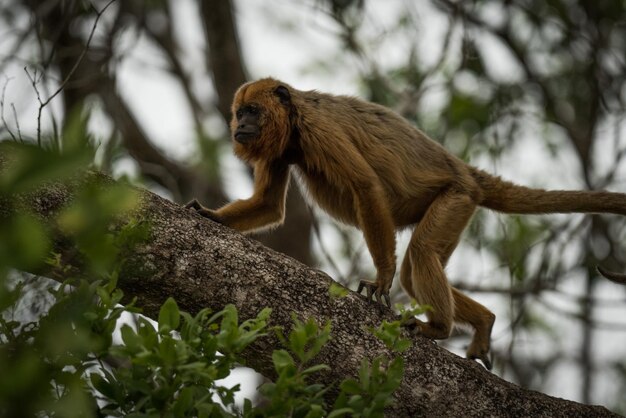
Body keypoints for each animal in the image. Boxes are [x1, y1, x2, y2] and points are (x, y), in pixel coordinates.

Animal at [185, 78, 624, 370]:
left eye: (252, 111)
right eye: (239, 112)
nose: (238, 126)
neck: (292, 119)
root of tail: (465, 171)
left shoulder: (318, 129)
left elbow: (366, 187)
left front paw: (381, 279)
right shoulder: (280, 148)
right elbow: (269, 205)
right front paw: (210, 216)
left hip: (456, 197)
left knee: (421, 254)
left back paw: (440, 328)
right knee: (415, 272)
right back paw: (483, 321)